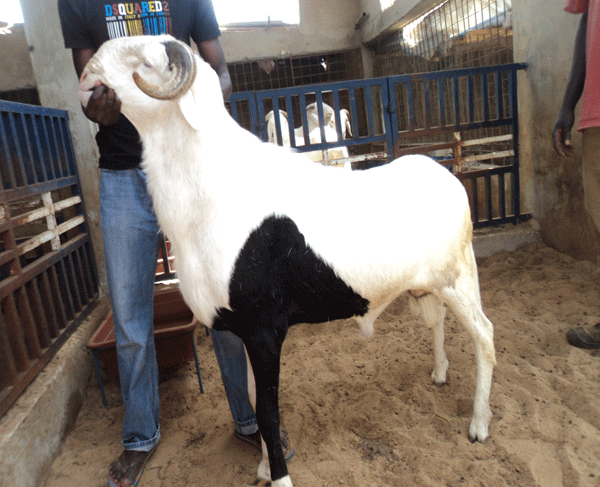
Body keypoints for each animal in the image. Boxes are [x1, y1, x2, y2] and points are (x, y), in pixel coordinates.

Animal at [77, 35, 494, 487]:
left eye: (146, 61)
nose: (86, 73)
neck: (212, 188)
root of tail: (448, 176)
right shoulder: (242, 327)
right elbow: (254, 397)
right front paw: (262, 466)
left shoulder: (265, 327)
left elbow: (267, 411)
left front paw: (279, 476)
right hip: (426, 285)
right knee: (437, 321)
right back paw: (439, 372)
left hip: (457, 276)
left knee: (484, 336)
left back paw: (479, 425)